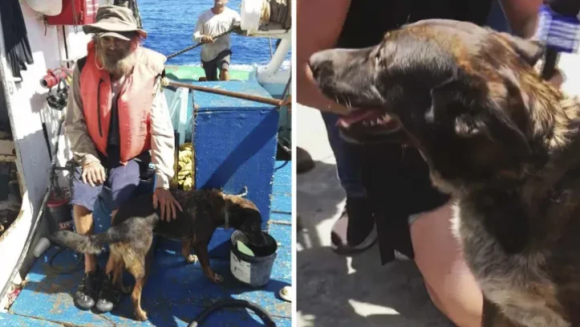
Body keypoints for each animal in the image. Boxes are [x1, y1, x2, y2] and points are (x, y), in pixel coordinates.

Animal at [49, 188, 268, 322]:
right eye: (254, 227)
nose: (264, 243)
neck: (222, 206)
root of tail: (116, 227)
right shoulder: (201, 242)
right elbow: (206, 264)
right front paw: (213, 277)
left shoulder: (189, 236)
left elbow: (185, 247)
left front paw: (188, 258)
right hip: (145, 263)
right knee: (136, 294)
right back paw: (140, 314)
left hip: (121, 257)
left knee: (117, 275)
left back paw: (123, 288)